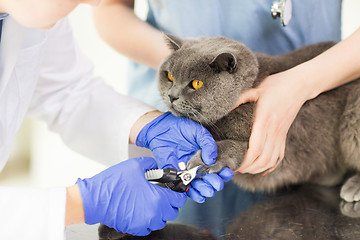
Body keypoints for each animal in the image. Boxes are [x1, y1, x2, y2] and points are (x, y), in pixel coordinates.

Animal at [159, 33, 360, 202]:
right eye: (169, 76)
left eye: (196, 84)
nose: (172, 95)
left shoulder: (259, 144)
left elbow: (226, 146)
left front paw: (200, 161)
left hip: (353, 111)